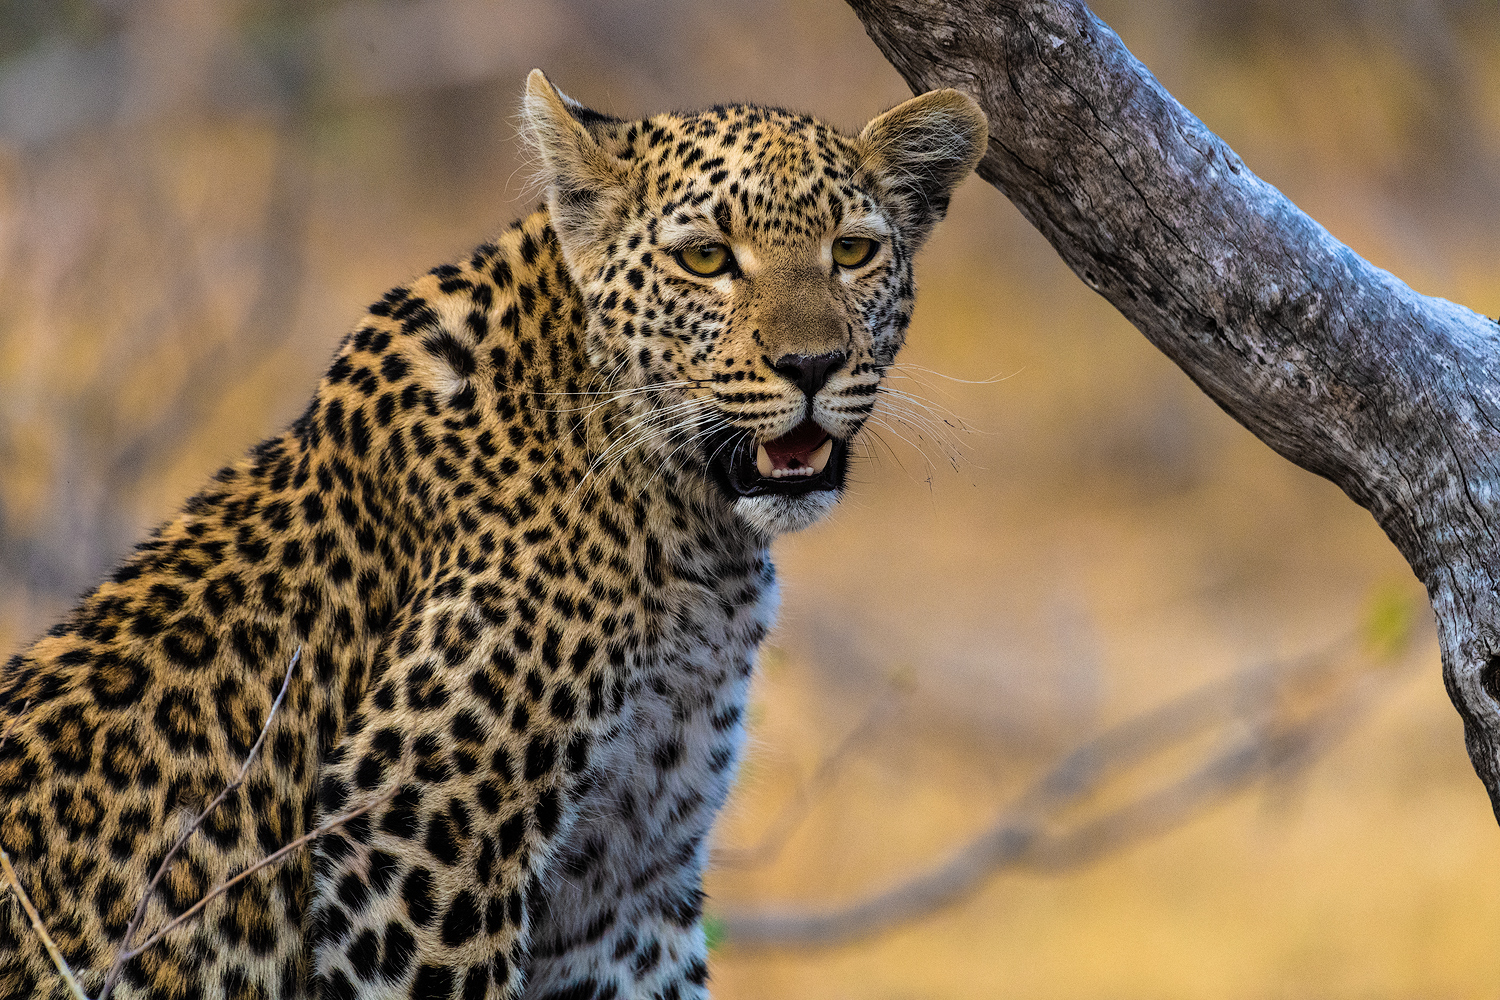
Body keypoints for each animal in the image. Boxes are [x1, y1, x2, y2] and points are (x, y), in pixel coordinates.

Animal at [0, 70, 987, 1000]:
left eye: (853, 252)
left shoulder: (627, 890)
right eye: (707, 258)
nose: (812, 365)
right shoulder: (417, 830)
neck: (698, 534)